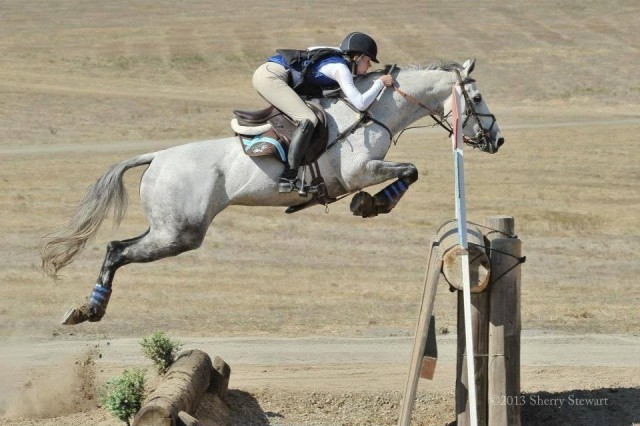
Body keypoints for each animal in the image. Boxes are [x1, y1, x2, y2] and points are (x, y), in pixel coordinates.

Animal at [42, 58, 504, 324]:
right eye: (478, 96)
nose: (497, 140)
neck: (372, 112)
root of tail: (157, 157)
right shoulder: (359, 171)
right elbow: (409, 171)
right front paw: (370, 205)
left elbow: (411, 171)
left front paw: (370, 205)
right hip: (179, 233)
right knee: (117, 250)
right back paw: (90, 308)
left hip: (168, 230)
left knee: (118, 247)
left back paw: (89, 307)